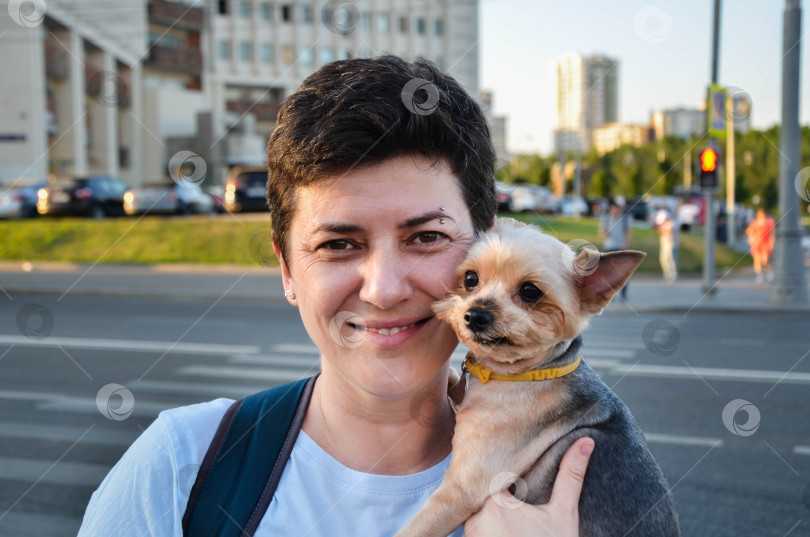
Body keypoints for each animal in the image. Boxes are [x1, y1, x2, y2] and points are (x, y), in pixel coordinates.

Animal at [394, 218, 680, 536]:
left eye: (531, 291)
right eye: (470, 278)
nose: (475, 315)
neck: (527, 373)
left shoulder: (460, 491)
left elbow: (412, 529)